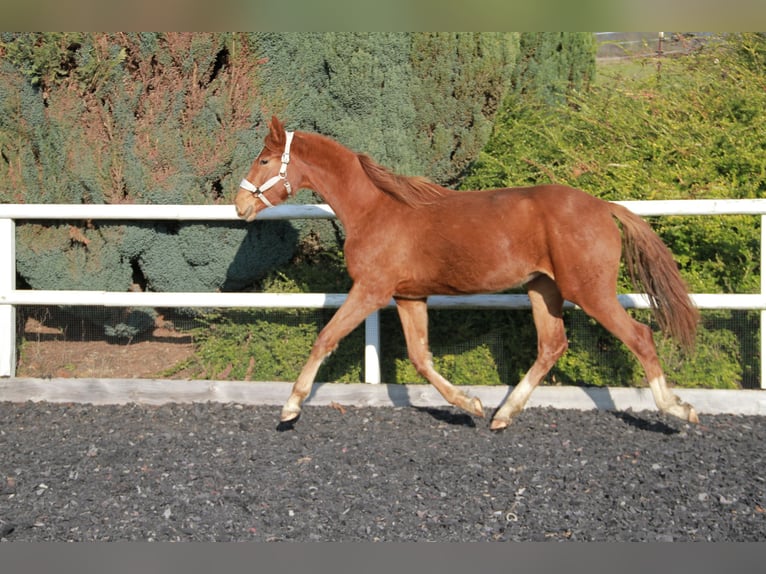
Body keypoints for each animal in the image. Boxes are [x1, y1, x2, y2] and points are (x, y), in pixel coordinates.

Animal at [236, 118, 704, 432]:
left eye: (263, 159)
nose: (240, 205)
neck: (376, 211)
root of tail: (605, 207)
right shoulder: (408, 296)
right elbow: (421, 358)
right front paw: (472, 404)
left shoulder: (371, 290)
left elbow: (326, 338)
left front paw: (290, 408)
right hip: (543, 289)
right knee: (552, 345)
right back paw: (503, 414)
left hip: (589, 291)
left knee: (640, 337)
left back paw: (678, 408)